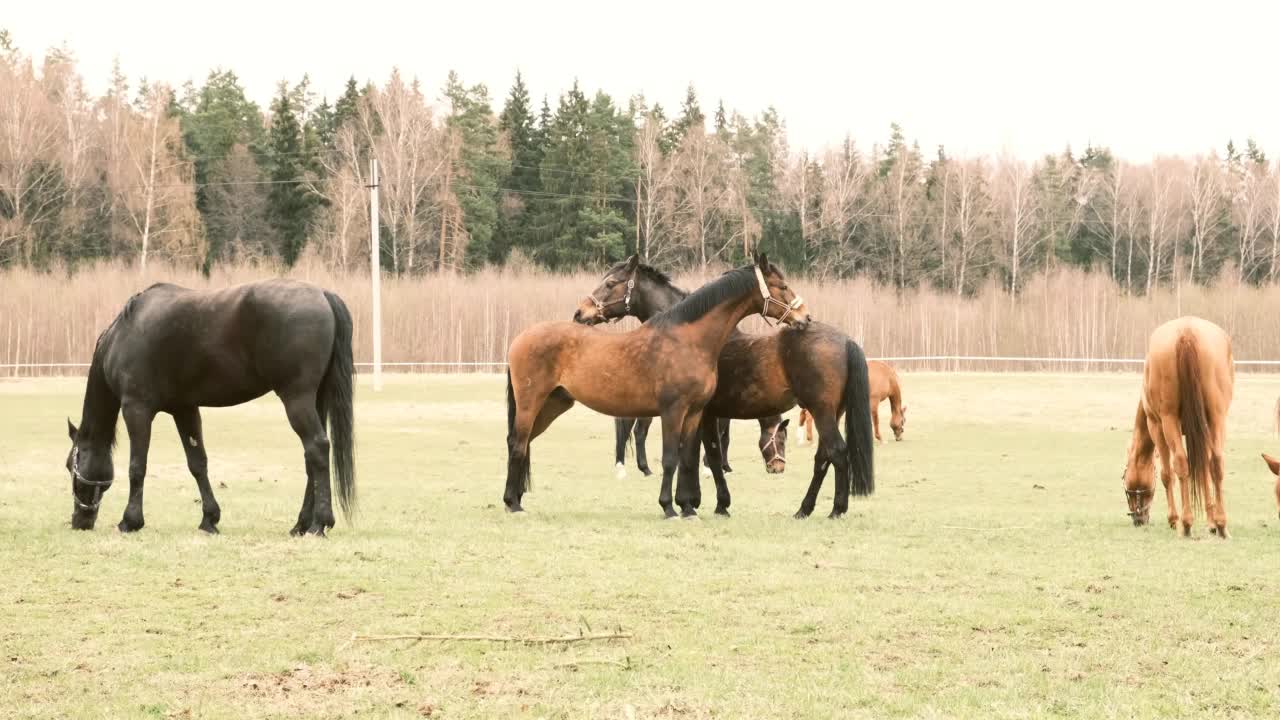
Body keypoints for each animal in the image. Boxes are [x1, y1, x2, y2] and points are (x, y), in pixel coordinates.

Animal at [63, 279, 355, 532]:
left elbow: (137, 466)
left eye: (70, 465)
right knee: (311, 458)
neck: (124, 334)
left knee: (317, 448)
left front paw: (130, 521)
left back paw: (319, 524)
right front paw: (209, 519)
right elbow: (197, 463)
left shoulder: (136, 409)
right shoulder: (184, 409)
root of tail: (322, 294)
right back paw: (301, 524)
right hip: (316, 400)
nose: (79, 521)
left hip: (297, 399)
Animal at [501, 252, 808, 515]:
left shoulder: (695, 413)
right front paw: (671, 507)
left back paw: (515, 498)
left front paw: (688, 507)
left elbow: (688, 457)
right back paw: (512, 504)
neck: (688, 339)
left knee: (524, 443)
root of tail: (520, 338)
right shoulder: (674, 411)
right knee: (517, 443)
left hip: (553, 405)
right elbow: (674, 457)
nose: (804, 316)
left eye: (610, 283)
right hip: (531, 404)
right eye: (782, 285)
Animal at [576, 256, 875, 515]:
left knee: (836, 453)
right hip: (829, 412)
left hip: (822, 411)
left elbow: (704, 454)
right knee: (823, 458)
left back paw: (835, 509)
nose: (581, 313)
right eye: (782, 286)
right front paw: (703, 502)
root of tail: (846, 340)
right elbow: (702, 454)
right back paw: (805, 509)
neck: (694, 335)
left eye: (610, 283)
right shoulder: (707, 414)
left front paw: (701, 502)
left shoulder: (705, 414)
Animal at [1126, 316, 1233, 535]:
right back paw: (1221, 524)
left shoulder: (1156, 426)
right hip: (1217, 418)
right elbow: (1203, 468)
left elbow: (1167, 474)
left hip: (1168, 421)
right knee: (1216, 463)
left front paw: (1173, 520)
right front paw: (1211, 521)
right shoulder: (1203, 429)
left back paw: (1185, 524)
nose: (1138, 519)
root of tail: (1186, 331)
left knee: (1180, 463)